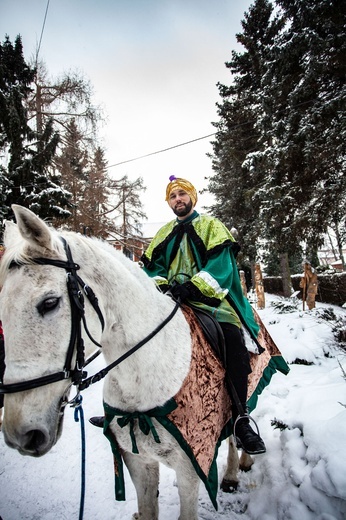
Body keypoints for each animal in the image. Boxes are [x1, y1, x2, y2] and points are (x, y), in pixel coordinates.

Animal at [0, 205, 253, 516]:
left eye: (49, 303)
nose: (20, 433)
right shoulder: (138, 461)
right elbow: (147, 509)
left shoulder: (190, 469)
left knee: (236, 425)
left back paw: (236, 467)